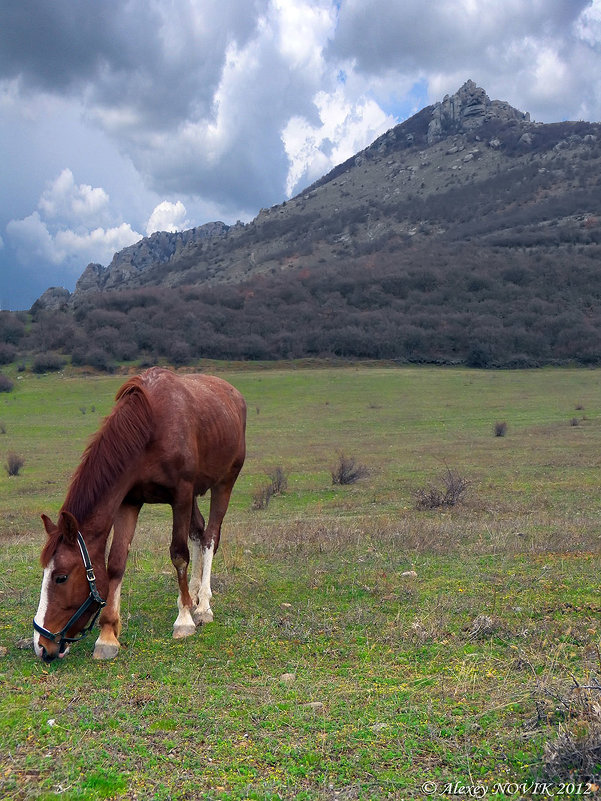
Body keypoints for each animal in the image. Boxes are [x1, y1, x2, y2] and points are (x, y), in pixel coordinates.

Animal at [31, 368, 244, 664]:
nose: (41, 645)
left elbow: (179, 555)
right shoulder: (129, 500)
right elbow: (116, 563)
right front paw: (107, 635)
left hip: (224, 482)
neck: (149, 428)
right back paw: (192, 595)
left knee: (211, 537)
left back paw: (202, 605)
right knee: (198, 532)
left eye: (60, 577)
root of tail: (233, 394)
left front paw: (184, 620)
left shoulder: (181, 495)